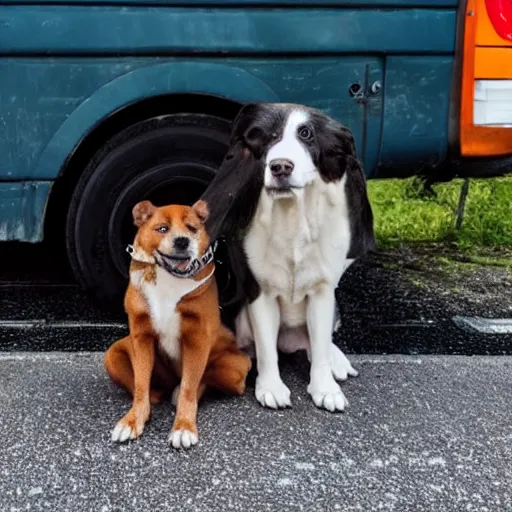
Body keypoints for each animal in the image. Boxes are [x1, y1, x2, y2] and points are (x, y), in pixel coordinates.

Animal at [103, 200, 251, 448]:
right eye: (162, 228)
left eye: (192, 228)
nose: (182, 241)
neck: (168, 279)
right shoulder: (141, 337)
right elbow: (141, 385)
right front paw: (133, 420)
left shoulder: (197, 341)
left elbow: (189, 388)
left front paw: (183, 426)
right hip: (112, 355)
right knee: (151, 389)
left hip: (234, 366)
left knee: (200, 382)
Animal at [201, 103, 376, 412]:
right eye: (266, 137)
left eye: (307, 134)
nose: (280, 166)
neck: (292, 217)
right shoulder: (260, 292)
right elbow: (266, 349)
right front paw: (270, 387)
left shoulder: (322, 293)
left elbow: (320, 347)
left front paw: (325, 389)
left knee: (319, 342)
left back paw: (337, 361)